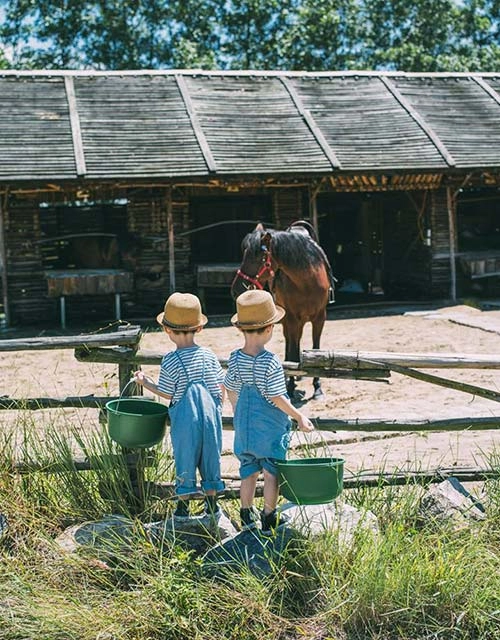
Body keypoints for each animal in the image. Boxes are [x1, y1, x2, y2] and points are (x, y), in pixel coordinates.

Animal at [231, 222, 334, 398]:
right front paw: (290, 386)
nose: (237, 289)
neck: (307, 282)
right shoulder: (291, 317)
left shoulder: (320, 317)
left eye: (258, 257)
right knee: (290, 340)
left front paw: (317, 387)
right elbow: (292, 350)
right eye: (245, 254)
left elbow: (316, 349)